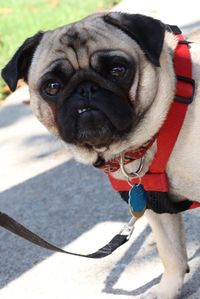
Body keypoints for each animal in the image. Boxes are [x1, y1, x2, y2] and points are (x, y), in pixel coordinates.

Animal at [1, 12, 200, 299]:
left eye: (118, 71)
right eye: (52, 87)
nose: (86, 89)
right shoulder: (156, 207)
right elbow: (171, 253)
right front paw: (167, 290)